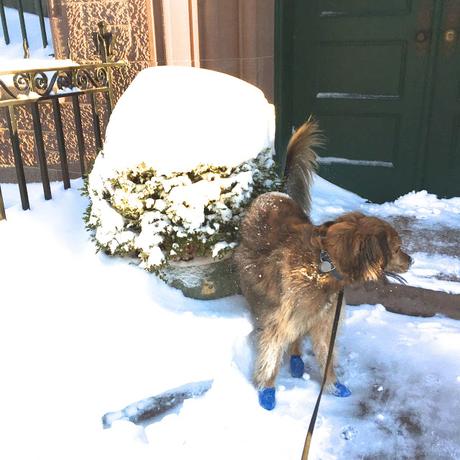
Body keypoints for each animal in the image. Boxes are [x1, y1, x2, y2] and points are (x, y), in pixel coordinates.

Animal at [235, 118, 412, 410]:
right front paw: (266, 390)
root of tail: (275, 192)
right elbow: (271, 354)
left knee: (297, 336)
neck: (324, 264)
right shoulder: (282, 320)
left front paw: (332, 385)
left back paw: (297, 361)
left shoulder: (324, 322)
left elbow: (326, 357)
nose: (411, 260)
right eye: (397, 248)